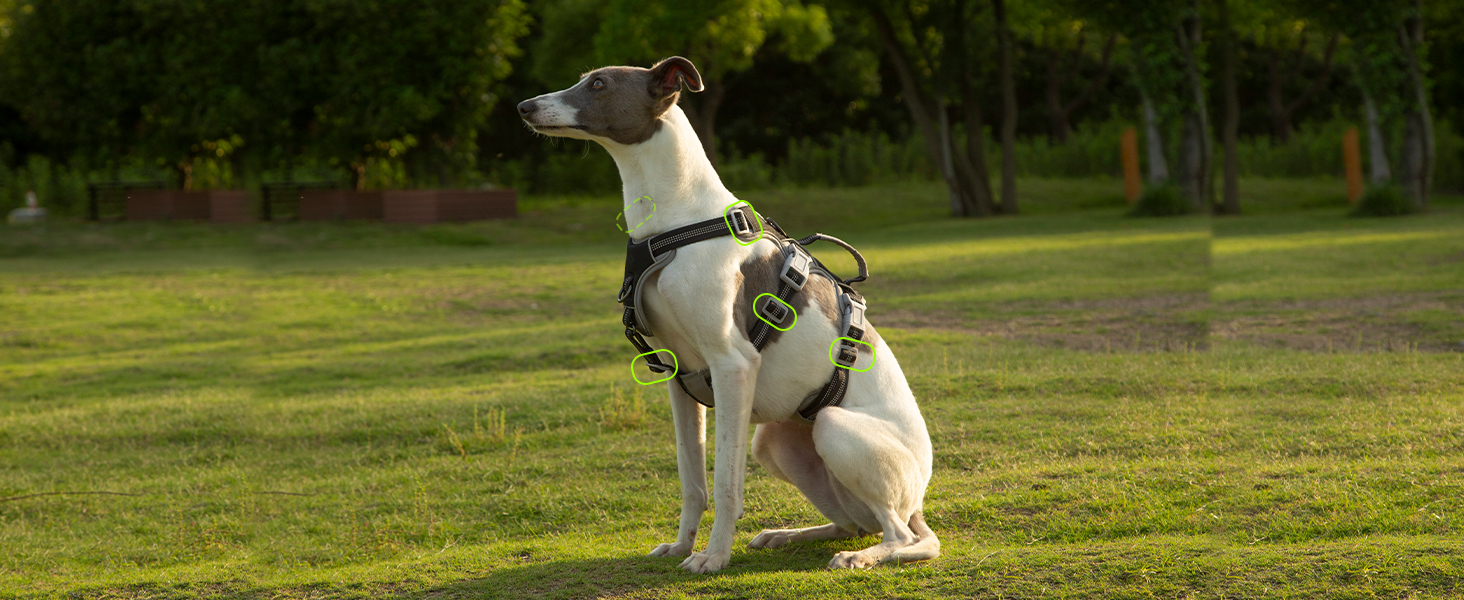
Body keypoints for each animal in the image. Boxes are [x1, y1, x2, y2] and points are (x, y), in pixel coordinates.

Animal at [515, 58, 936, 573]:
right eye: (584, 78)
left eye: (598, 84)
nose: (524, 106)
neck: (673, 221)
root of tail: (918, 498)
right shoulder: (678, 375)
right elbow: (692, 481)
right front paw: (681, 546)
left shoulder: (733, 365)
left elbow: (725, 485)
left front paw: (713, 557)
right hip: (774, 441)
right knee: (853, 523)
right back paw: (788, 534)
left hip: (836, 430)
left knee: (906, 537)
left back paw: (863, 556)